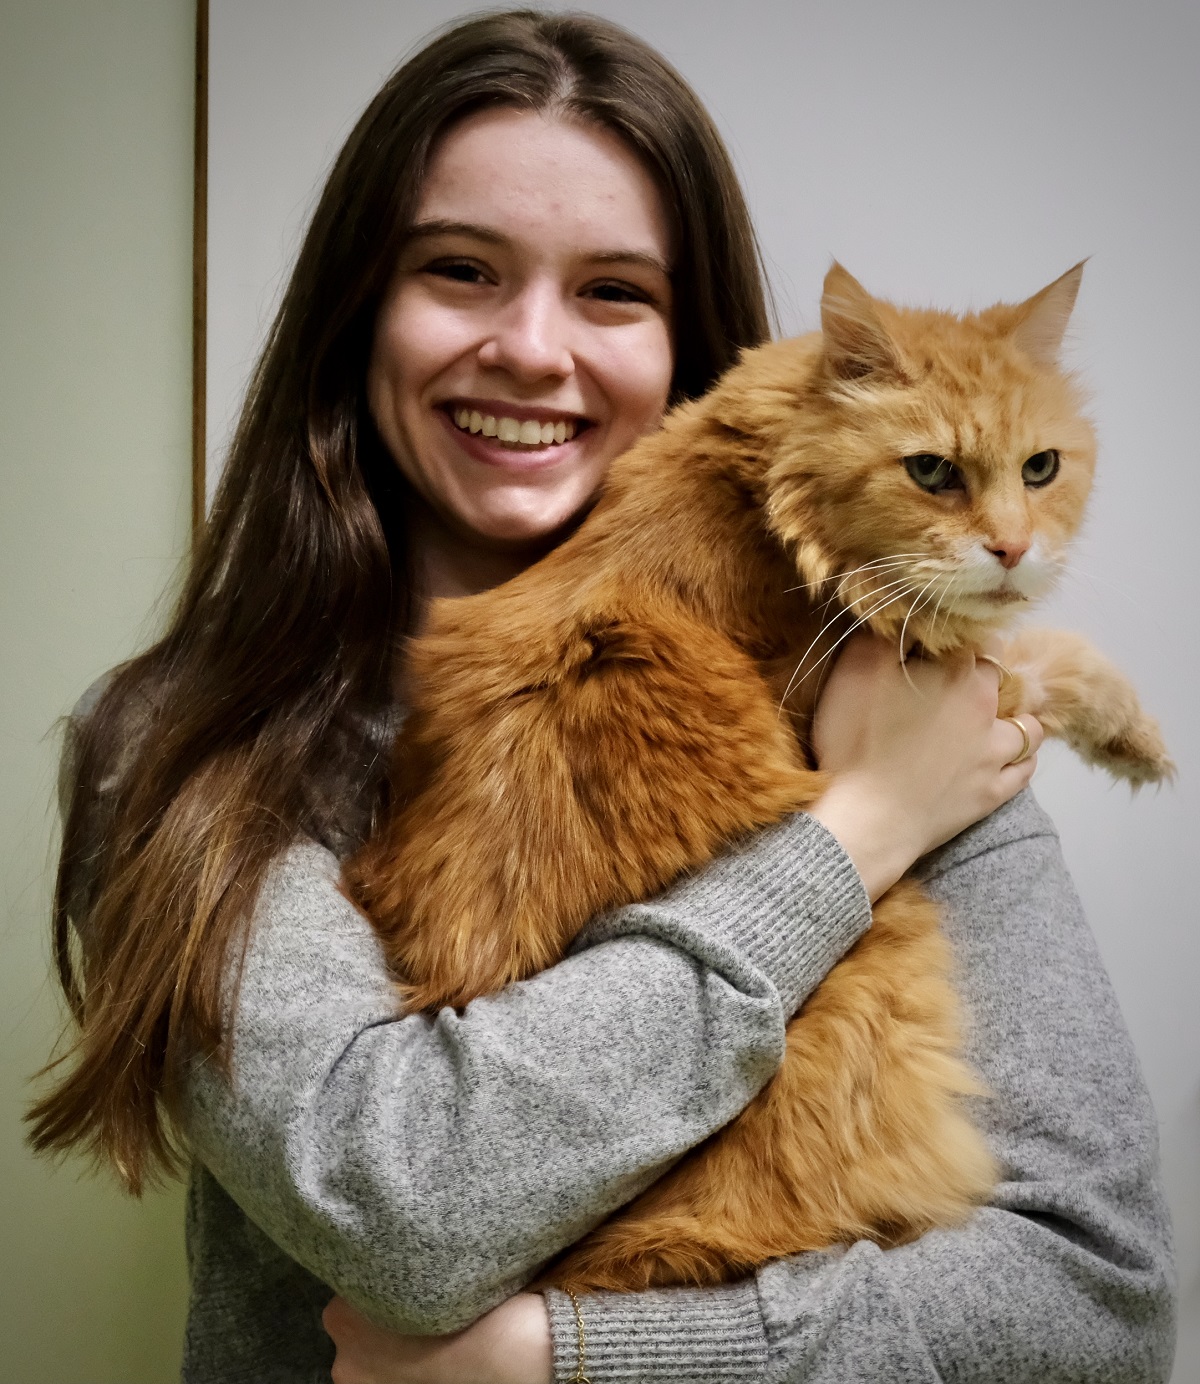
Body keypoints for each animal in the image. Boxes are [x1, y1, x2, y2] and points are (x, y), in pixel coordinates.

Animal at [347, 261, 1173, 1295]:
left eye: (1041, 469)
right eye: (931, 472)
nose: (1015, 550)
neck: (768, 502)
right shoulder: (943, 667)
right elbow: (1049, 657)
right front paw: (1139, 737)